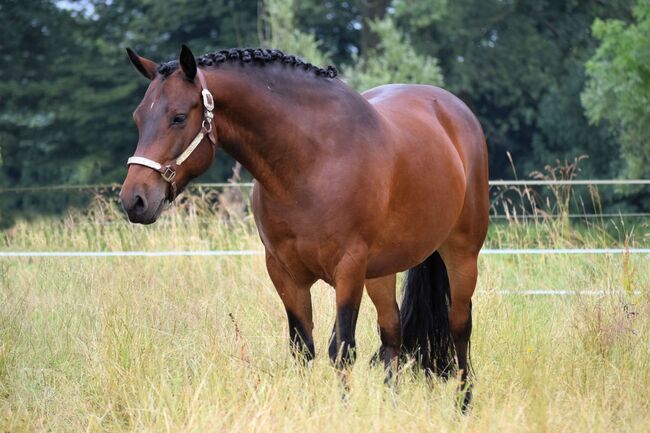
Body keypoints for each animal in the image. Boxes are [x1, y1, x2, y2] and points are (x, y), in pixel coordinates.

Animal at [120, 44, 486, 404]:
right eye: (138, 118)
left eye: (178, 117)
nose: (134, 200)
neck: (312, 161)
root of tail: (452, 110)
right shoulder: (285, 273)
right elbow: (302, 349)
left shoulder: (349, 269)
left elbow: (342, 350)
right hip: (381, 271)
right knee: (391, 332)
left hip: (461, 255)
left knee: (459, 326)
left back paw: (463, 405)